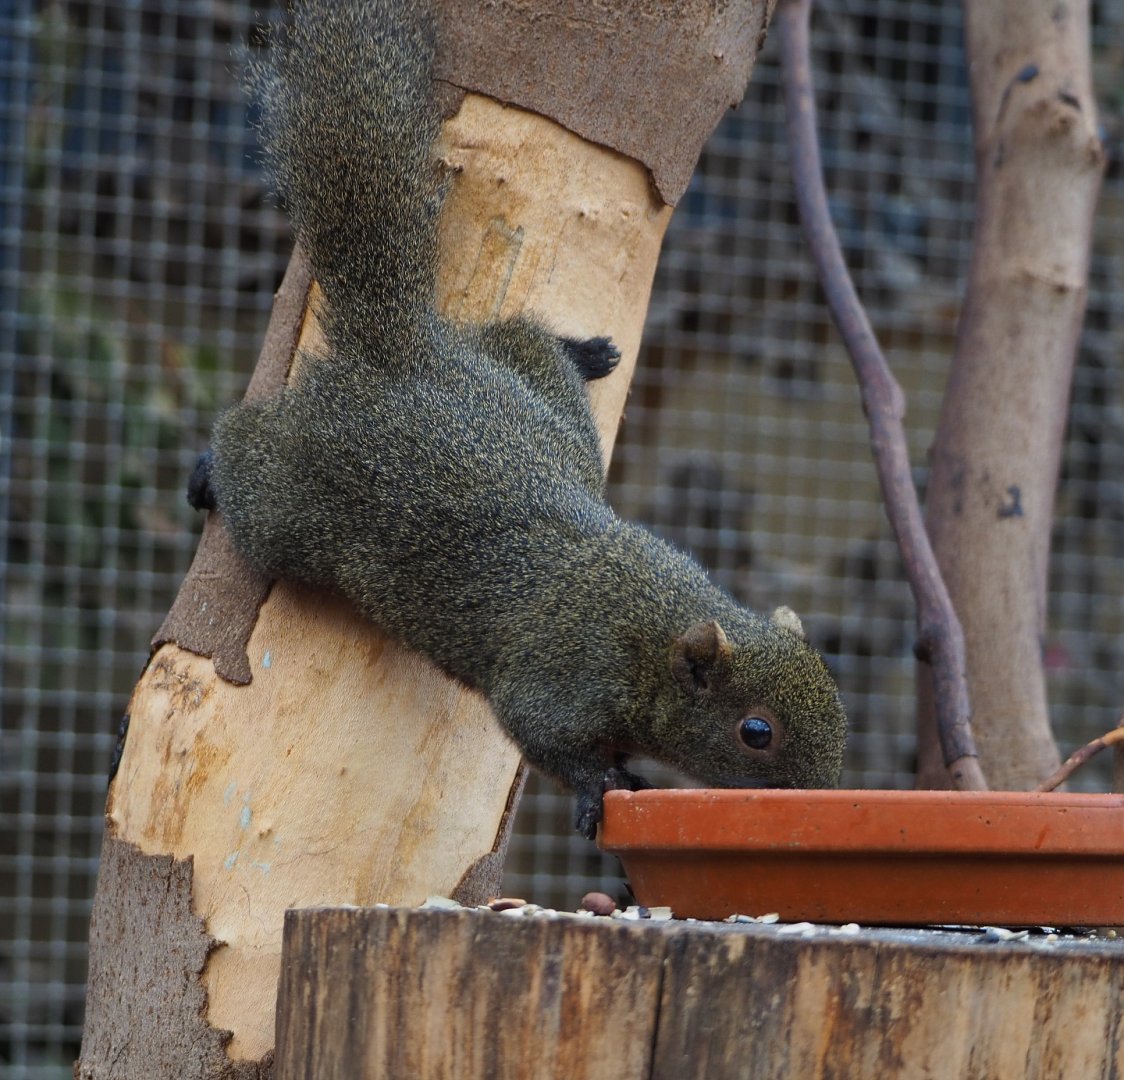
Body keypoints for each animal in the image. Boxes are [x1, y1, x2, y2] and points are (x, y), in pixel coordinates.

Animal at [189, 0, 847, 839]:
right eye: (755, 732)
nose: (823, 793)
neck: (652, 630)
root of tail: (406, 354)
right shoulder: (564, 674)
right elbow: (536, 730)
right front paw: (601, 786)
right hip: (296, 503)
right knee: (247, 454)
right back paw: (210, 467)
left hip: (545, 407)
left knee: (519, 339)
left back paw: (578, 351)